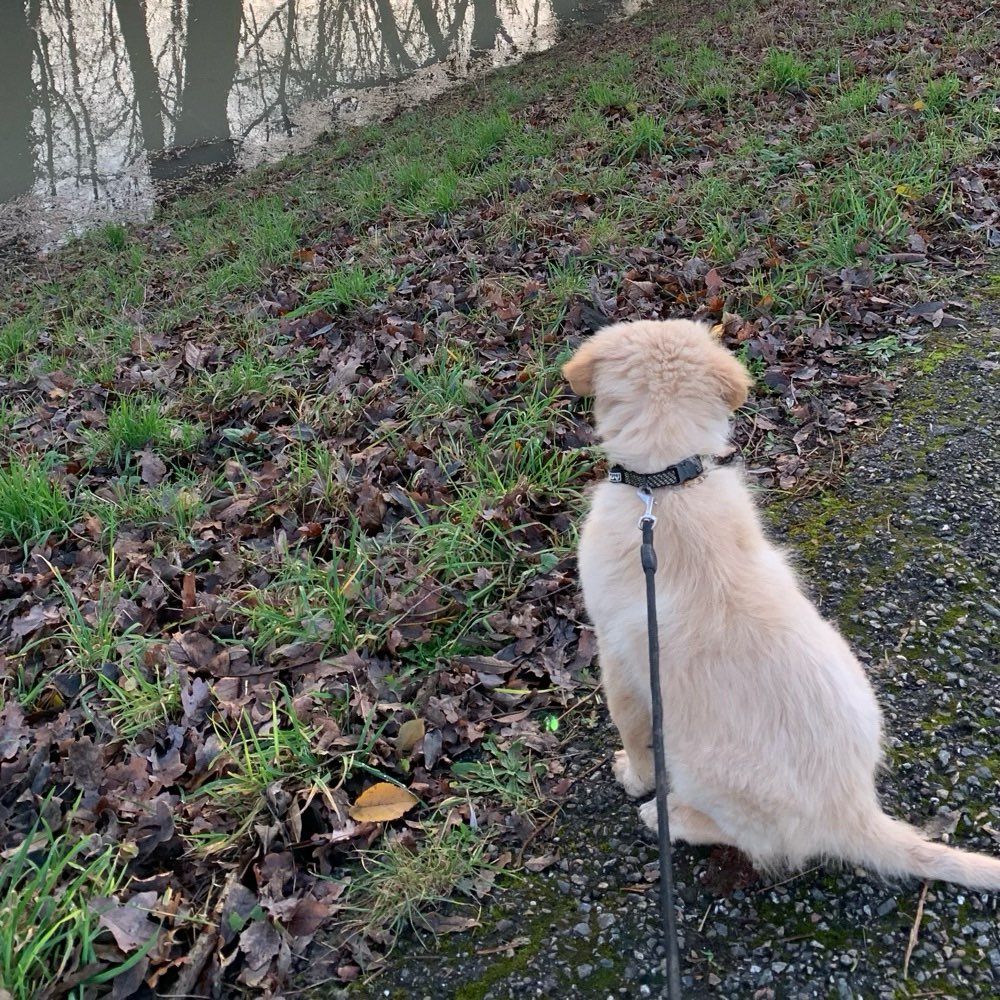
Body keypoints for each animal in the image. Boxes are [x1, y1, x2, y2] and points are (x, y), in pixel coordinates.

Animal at [564, 320, 1000, 892]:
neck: (666, 485)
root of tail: (854, 813)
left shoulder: (619, 659)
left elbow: (632, 732)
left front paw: (632, 777)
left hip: (695, 761)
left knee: (752, 841)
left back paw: (674, 817)